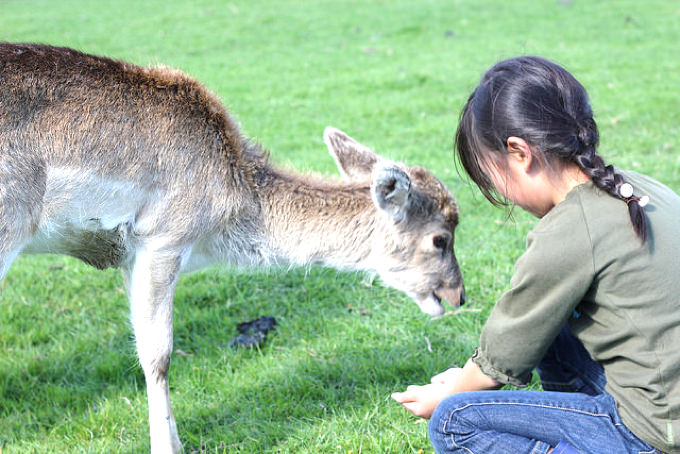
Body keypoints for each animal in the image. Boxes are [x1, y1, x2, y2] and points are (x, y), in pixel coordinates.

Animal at [0, 41, 462, 450]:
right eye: (440, 238)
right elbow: (158, 353)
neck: (221, 227)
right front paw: (168, 448)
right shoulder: (164, 237)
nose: (458, 295)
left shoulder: (129, 257)